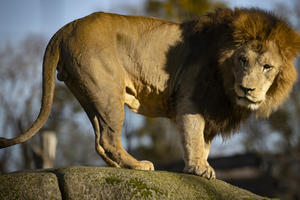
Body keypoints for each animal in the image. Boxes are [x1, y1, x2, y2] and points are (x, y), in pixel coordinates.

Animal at [0, 7, 300, 180]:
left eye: (267, 67)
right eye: (243, 60)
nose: (247, 89)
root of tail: (64, 29)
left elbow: (204, 143)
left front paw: (201, 164)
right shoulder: (189, 98)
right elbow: (193, 136)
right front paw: (199, 169)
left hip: (89, 93)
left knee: (99, 140)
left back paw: (119, 167)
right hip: (108, 91)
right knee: (108, 138)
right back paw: (137, 166)